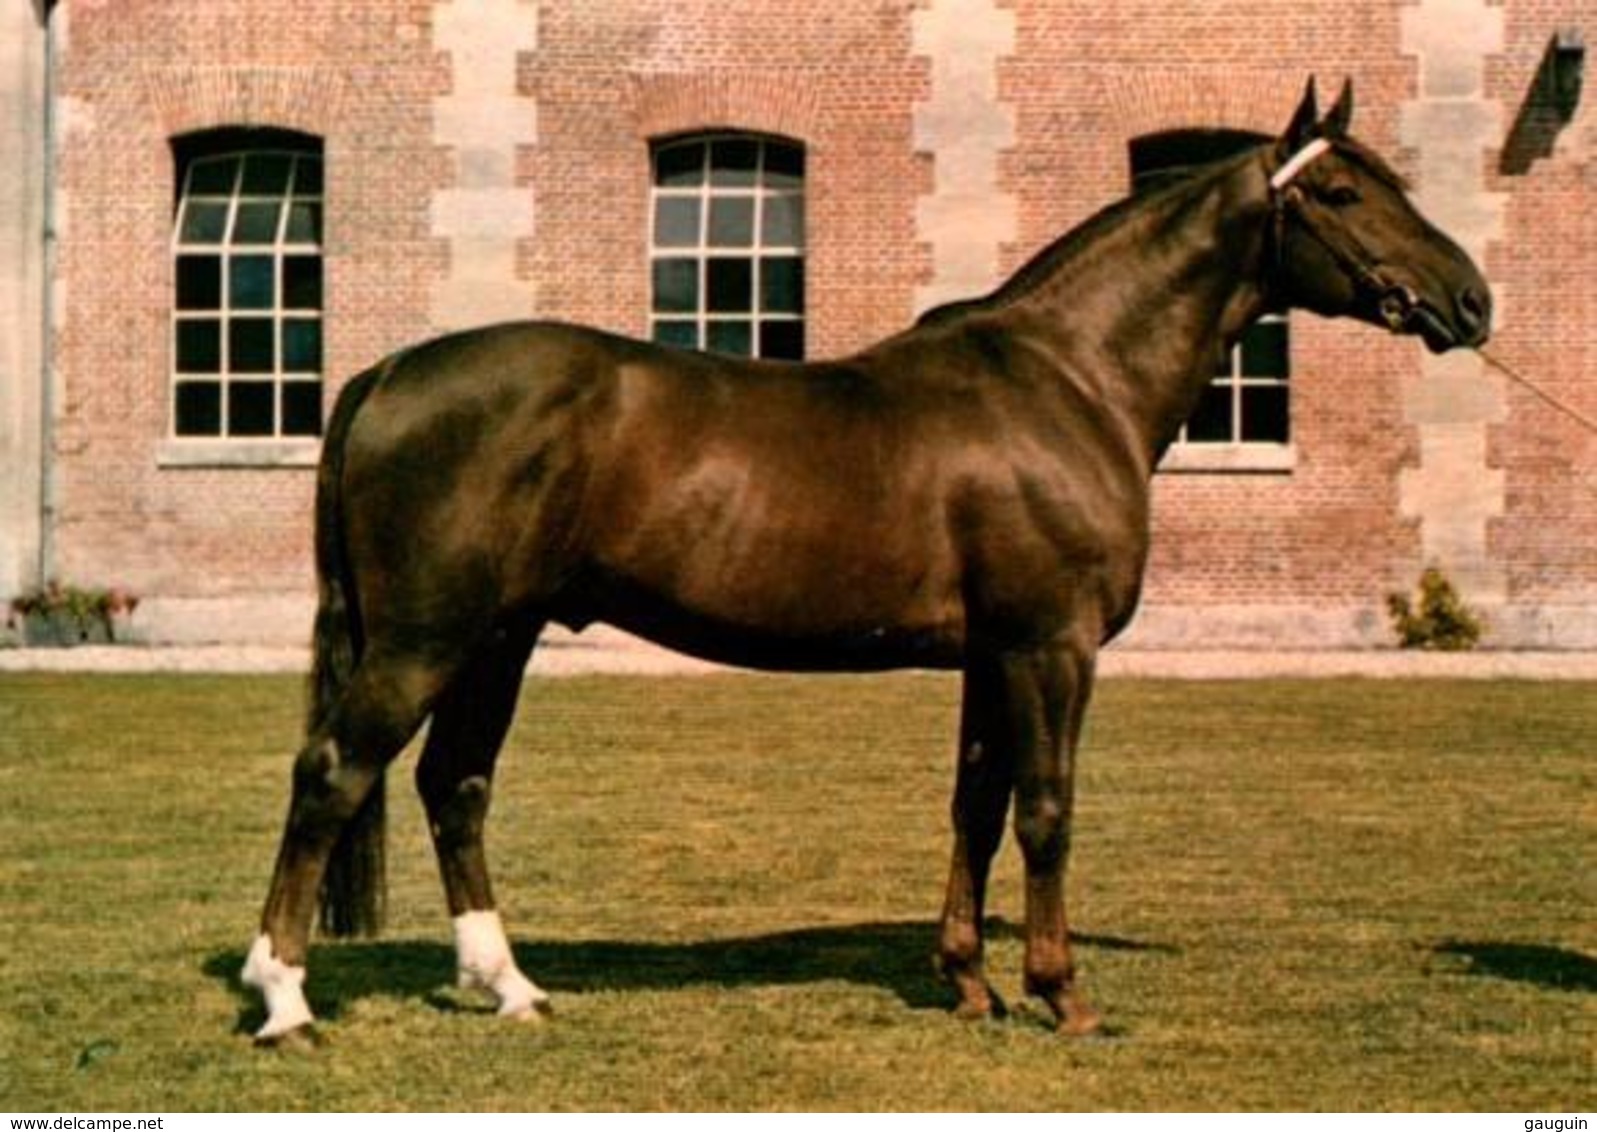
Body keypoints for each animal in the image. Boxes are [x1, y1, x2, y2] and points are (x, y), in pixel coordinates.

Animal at [242, 83, 1488, 1040]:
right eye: (1341, 193)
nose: (1470, 299)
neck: (1070, 377)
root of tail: (389, 371)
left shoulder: (993, 657)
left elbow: (974, 804)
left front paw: (970, 984)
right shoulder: (1051, 649)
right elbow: (1045, 808)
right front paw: (1061, 995)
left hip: (497, 639)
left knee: (453, 785)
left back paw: (508, 987)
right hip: (425, 640)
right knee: (331, 772)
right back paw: (286, 999)